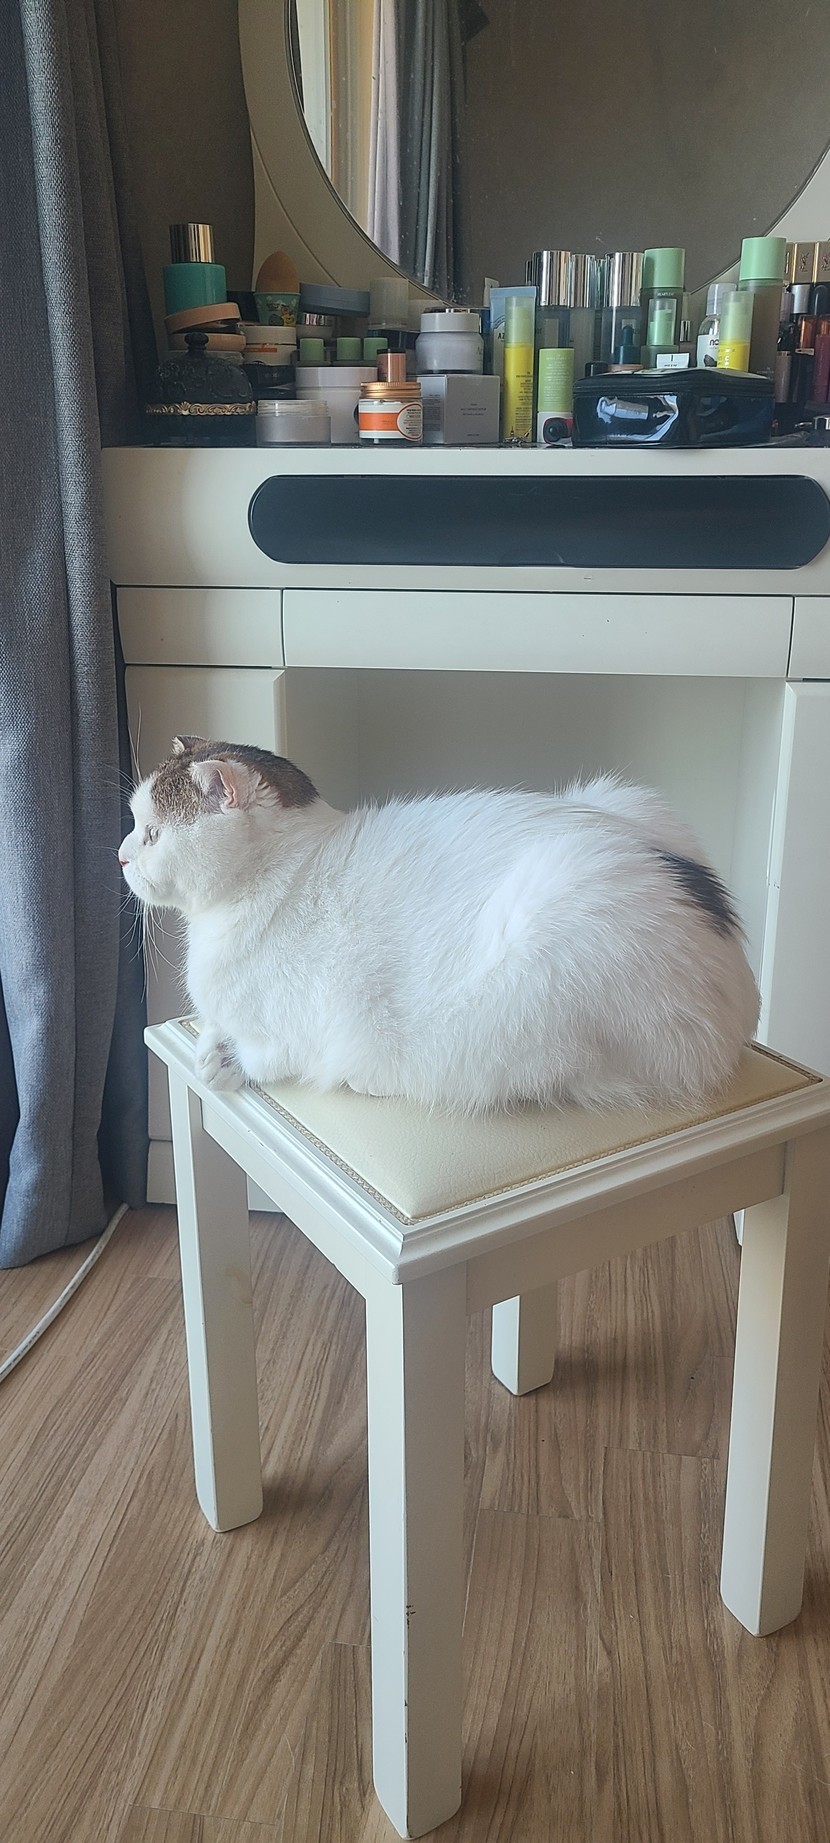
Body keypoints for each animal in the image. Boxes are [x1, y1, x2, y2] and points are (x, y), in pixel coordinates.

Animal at [119, 735, 761, 1114]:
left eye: (152, 833)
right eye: (135, 825)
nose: (120, 855)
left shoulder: (292, 1038)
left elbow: (262, 1055)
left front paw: (223, 1059)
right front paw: (211, 1040)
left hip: (545, 968)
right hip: (625, 797)